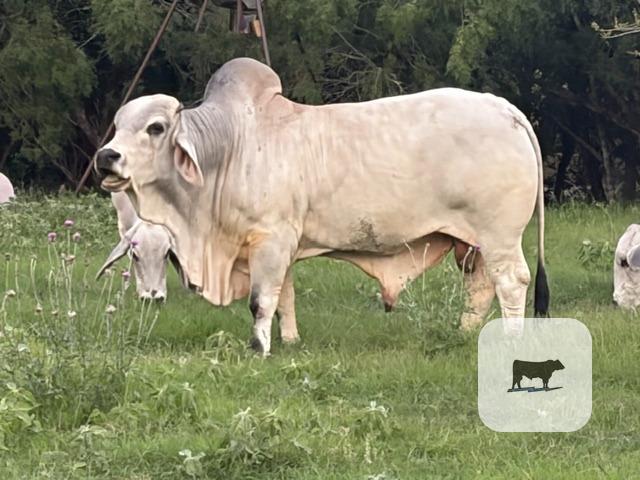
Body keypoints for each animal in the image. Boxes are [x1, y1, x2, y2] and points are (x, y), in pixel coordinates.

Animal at [95, 57, 549, 355]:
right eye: (116, 125)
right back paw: (465, 336)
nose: (106, 156)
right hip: (471, 244)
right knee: (480, 286)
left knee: (512, 282)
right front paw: (290, 341)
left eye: (156, 128)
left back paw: (509, 341)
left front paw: (258, 348)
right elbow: (285, 297)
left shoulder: (271, 239)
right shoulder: (280, 245)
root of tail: (504, 107)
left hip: (500, 235)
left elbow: (261, 300)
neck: (229, 149)